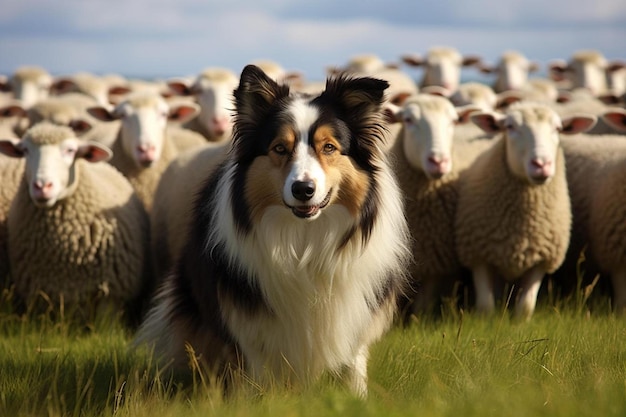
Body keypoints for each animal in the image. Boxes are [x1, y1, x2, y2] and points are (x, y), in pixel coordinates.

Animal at [0, 122, 152, 324]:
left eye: (70, 150)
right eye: (25, 150)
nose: (42, 186)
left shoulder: (110, 293)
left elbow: (104, 325)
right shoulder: (42, 294)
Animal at [133, 65, 410, 396]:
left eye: (329, 147)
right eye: (280, 148)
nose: (303, 189)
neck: (304, 239)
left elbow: (354, 361)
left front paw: (358, 397)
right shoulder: (246, 315)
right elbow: (255, 364)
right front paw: (255, 399)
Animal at [454, 101, 596, 318]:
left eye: (558, 129)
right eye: (510, 126)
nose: (541, 164)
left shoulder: (541, 259)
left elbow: (526, 306)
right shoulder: (479, 255)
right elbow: (486, 306)